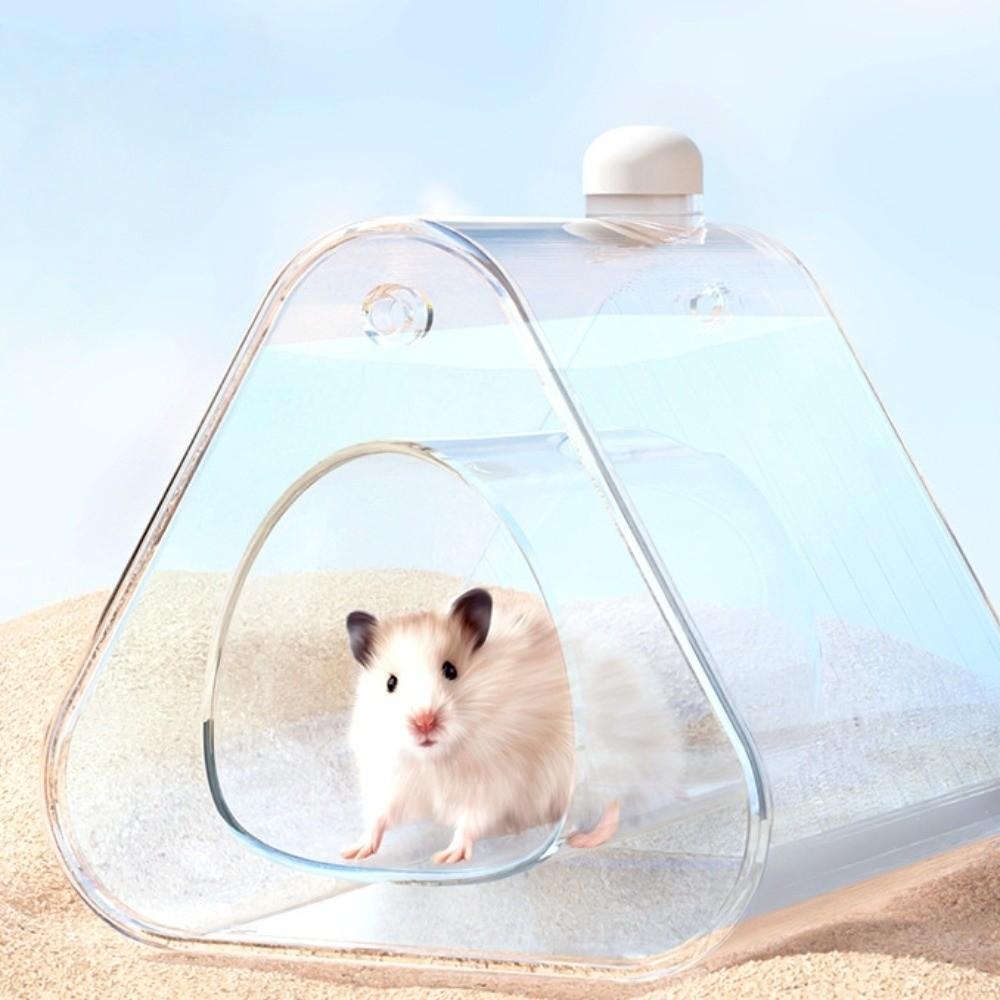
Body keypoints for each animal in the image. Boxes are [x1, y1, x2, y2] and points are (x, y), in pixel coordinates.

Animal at [341, 587, 585, 864]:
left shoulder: (495, 784)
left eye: (451, 670)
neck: (436, 759)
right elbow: (379, 817)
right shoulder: (390, 780)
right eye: (390, 683)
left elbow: (472, 821)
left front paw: (445, 858)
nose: (424, 722)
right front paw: (353, 853)